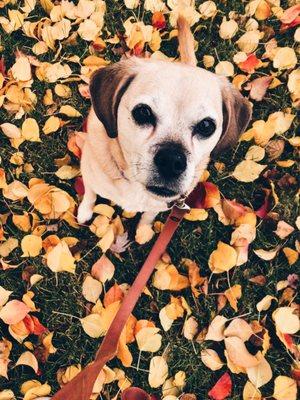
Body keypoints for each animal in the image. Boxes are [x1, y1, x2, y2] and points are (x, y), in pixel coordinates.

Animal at [77, 16, 251, 228]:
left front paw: (143, 230)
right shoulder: (88, 174)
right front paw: (84, 212)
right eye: (143, 112)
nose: (171, 161)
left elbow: (148, 216)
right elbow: (90, 195)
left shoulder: (162, 204)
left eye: (206, 126)